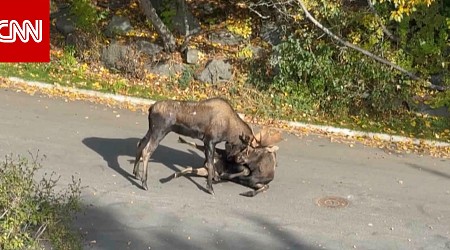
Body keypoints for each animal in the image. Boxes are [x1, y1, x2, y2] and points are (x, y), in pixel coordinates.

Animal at [134, 96, 280, 194]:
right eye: (247, 148)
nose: (235, 159)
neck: (229, 130)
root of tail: (150, 109)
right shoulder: (210, 140)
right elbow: (210, 163)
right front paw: (210, 187)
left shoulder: (207, 141)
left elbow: (209, 164)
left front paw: (215, 178)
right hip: (160, 131)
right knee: (147, 151)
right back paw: (144, 183)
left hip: (151, 130)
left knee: (140, 144)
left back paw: (135, 174)